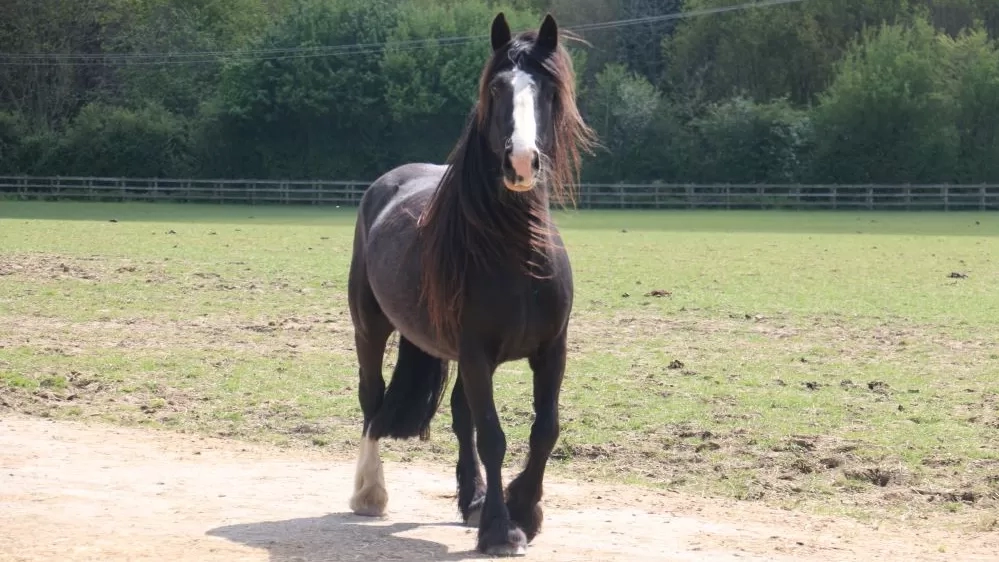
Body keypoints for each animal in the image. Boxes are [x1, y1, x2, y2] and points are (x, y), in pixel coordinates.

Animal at [346, 13, 592, 556]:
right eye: (497, 88)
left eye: (547, 90)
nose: (520, 162)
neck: (515, 255)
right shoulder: (478, 353)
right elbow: (494, 435)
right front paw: (502, 529)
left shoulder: (552, 350)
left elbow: (544, 430)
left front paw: (523, 509)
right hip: (370, 329)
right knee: (373, 399)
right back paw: (369, 493)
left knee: (461, 417)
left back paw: (472, 498)